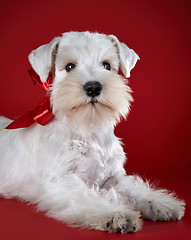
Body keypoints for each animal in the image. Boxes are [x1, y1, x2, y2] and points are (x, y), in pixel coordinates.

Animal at [0, 31, 185, 232]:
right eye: (69, 66)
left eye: (106, 65)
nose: (93, 87)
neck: (88, 129)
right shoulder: (60, 180)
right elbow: (88, 197)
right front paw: (116, 214)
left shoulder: (112, 177)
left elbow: (134, 188)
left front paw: (161, 203)